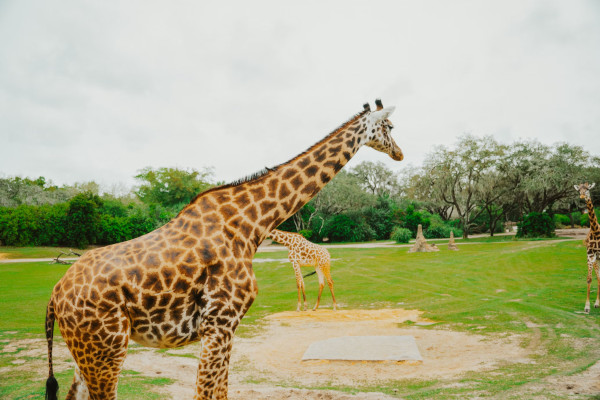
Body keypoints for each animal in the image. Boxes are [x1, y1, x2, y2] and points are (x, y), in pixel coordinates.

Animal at [44, 99, 404, 400]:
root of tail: (55, 296)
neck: (251, 225)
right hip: (107, 349)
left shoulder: (227, 327)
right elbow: (206, 394)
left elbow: (221, 392)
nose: (400, 153)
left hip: (87, 352)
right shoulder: (218, 323)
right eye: (389, 127)